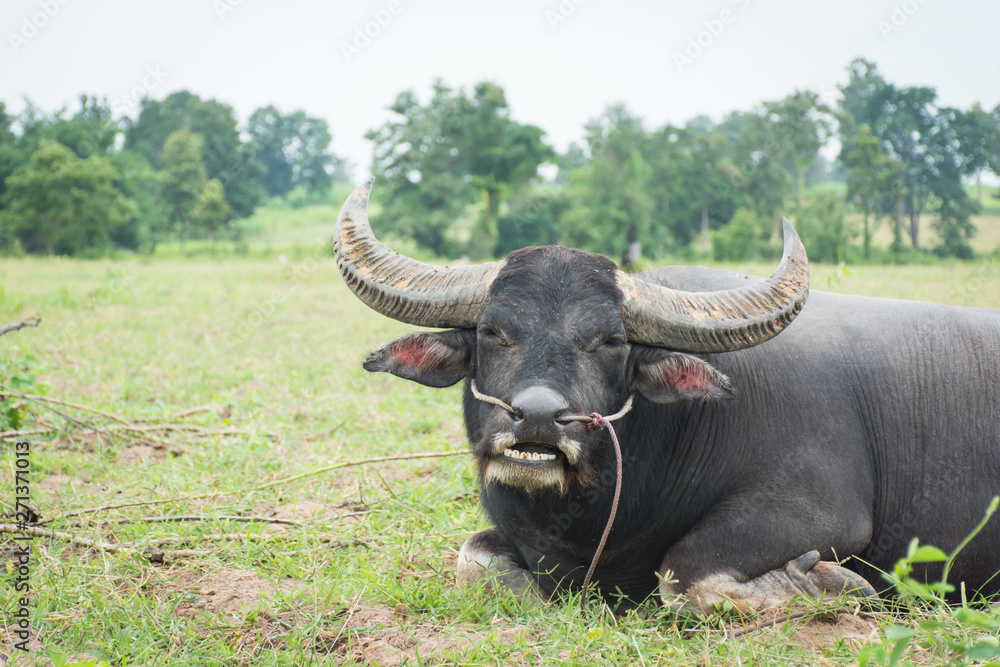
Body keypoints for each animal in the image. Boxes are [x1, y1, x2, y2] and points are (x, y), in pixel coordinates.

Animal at [334, 180, 1000, 612]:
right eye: (493, 331)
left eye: (610, 341)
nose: (539, 420)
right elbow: (473, 559)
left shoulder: (819, 511)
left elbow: (682, 575)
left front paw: (831, 585)